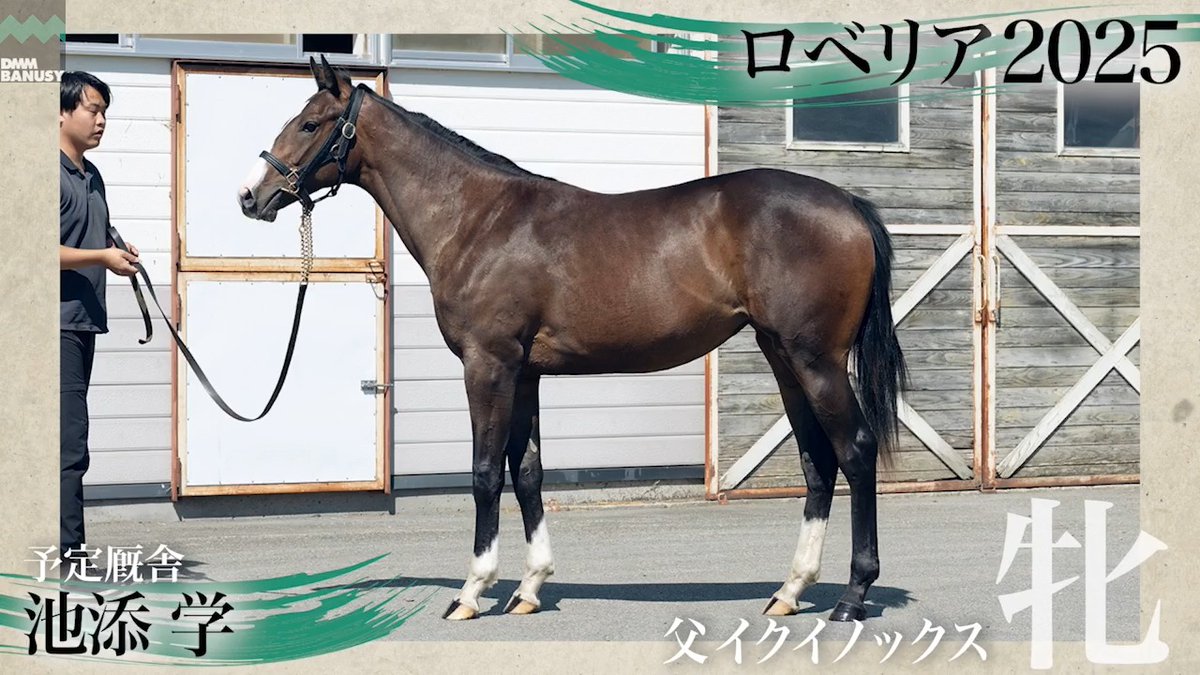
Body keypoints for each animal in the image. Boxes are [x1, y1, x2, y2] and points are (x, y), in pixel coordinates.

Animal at [237, 55, 907, 622]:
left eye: (310, 123)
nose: (250, 196)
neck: (478, 219)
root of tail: (848, 203)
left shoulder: (488, 365)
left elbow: (486, 472)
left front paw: (472, 592)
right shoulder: (525, 372)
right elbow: (529, 472)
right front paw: (530, 589)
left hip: (815, 360)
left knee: (855, 451)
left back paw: (852, 596)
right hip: (782, 355)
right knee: (818, 462)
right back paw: (790, 591)